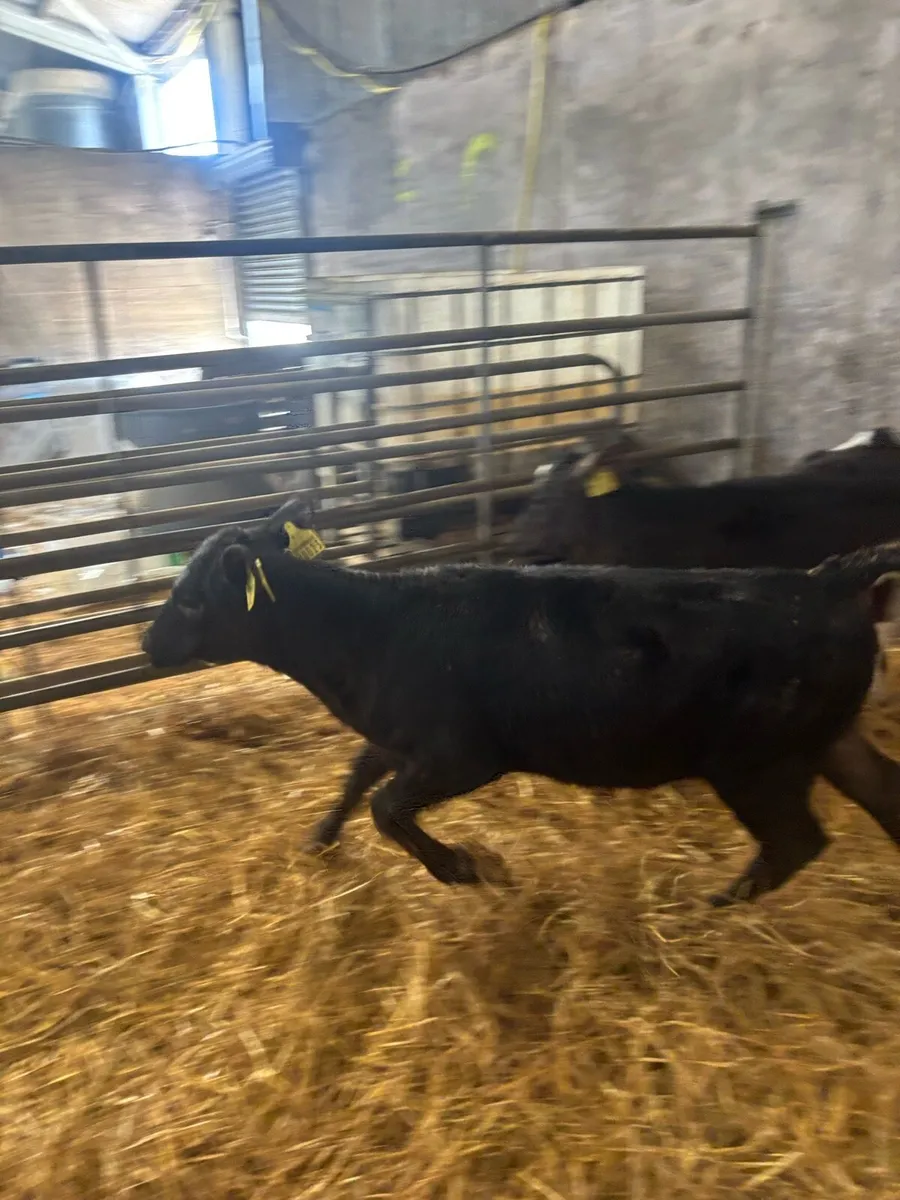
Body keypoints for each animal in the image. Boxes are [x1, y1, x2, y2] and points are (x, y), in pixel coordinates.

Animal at [141, 500, 900, 908]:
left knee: (795, 842)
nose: (148, 642)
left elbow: (386, 806)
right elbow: (358, 777)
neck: (371, 632)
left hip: (757, 763)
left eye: (191, 599)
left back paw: (709, 907)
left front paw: (466, 867)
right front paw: (319, 840)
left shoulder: (463, 754)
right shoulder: (400, 734)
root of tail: (825, 580)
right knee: (884, 796)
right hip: (826, 740)